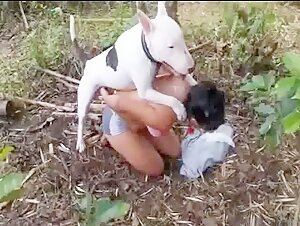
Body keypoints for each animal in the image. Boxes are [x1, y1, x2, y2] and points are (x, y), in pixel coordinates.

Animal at [71, 1, 196, 153]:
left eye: (182, 39)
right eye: (170, 46)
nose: (192, 67)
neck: (144, 47)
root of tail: (89, 61)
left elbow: (185, 76)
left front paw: (194, 82)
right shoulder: (145, 91)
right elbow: (171, 99)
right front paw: (180, 110)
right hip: (85, 95)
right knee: (81, 119)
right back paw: (80, 142)